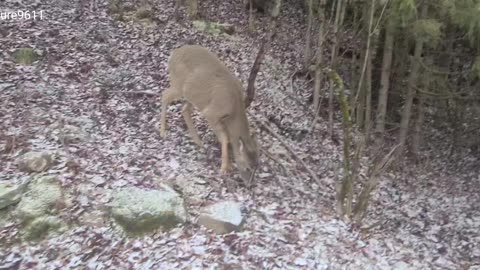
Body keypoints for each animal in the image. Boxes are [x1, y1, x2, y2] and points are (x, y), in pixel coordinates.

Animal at [158, 44, 258, 184]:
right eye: (248, 167)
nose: (249, 184)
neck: (234, 108)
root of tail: (174, 54)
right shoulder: (212, 113)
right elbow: (225, 137)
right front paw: (224, 168)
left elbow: (227, 136)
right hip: (178, 84)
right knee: (165, 95)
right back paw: (163, 131)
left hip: (193, 96)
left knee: (184, 109)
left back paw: (198, 142)